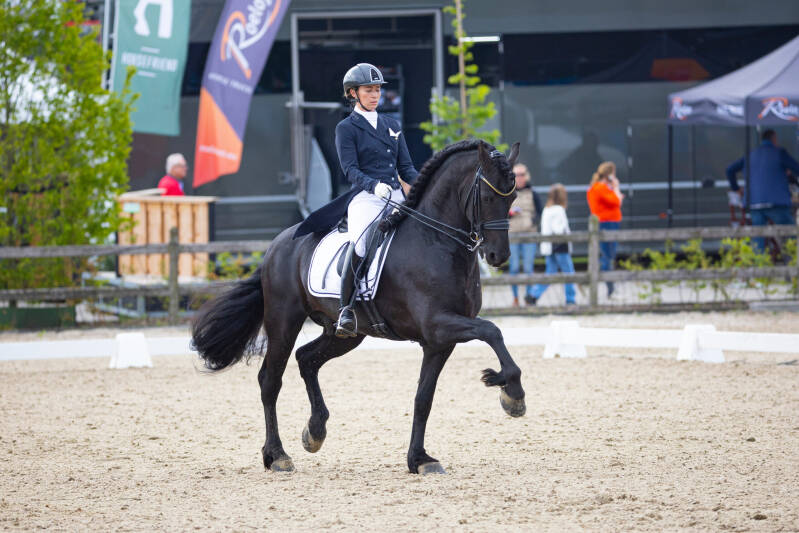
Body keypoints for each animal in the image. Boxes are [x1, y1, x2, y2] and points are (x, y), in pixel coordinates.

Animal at [191, 139, 526, 474]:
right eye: (487, 197)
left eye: (513, 196)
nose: (498, 256)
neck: (435, 241)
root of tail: (277, 244)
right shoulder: (438, 324)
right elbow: (492, 331)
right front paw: (511, 393)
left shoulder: (438, 341)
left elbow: (423, 398)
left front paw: (419, 459)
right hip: (283, 321)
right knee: (270, 380)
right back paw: (277, 455)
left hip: (345, 334)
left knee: (307, 359)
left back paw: (315, 431)